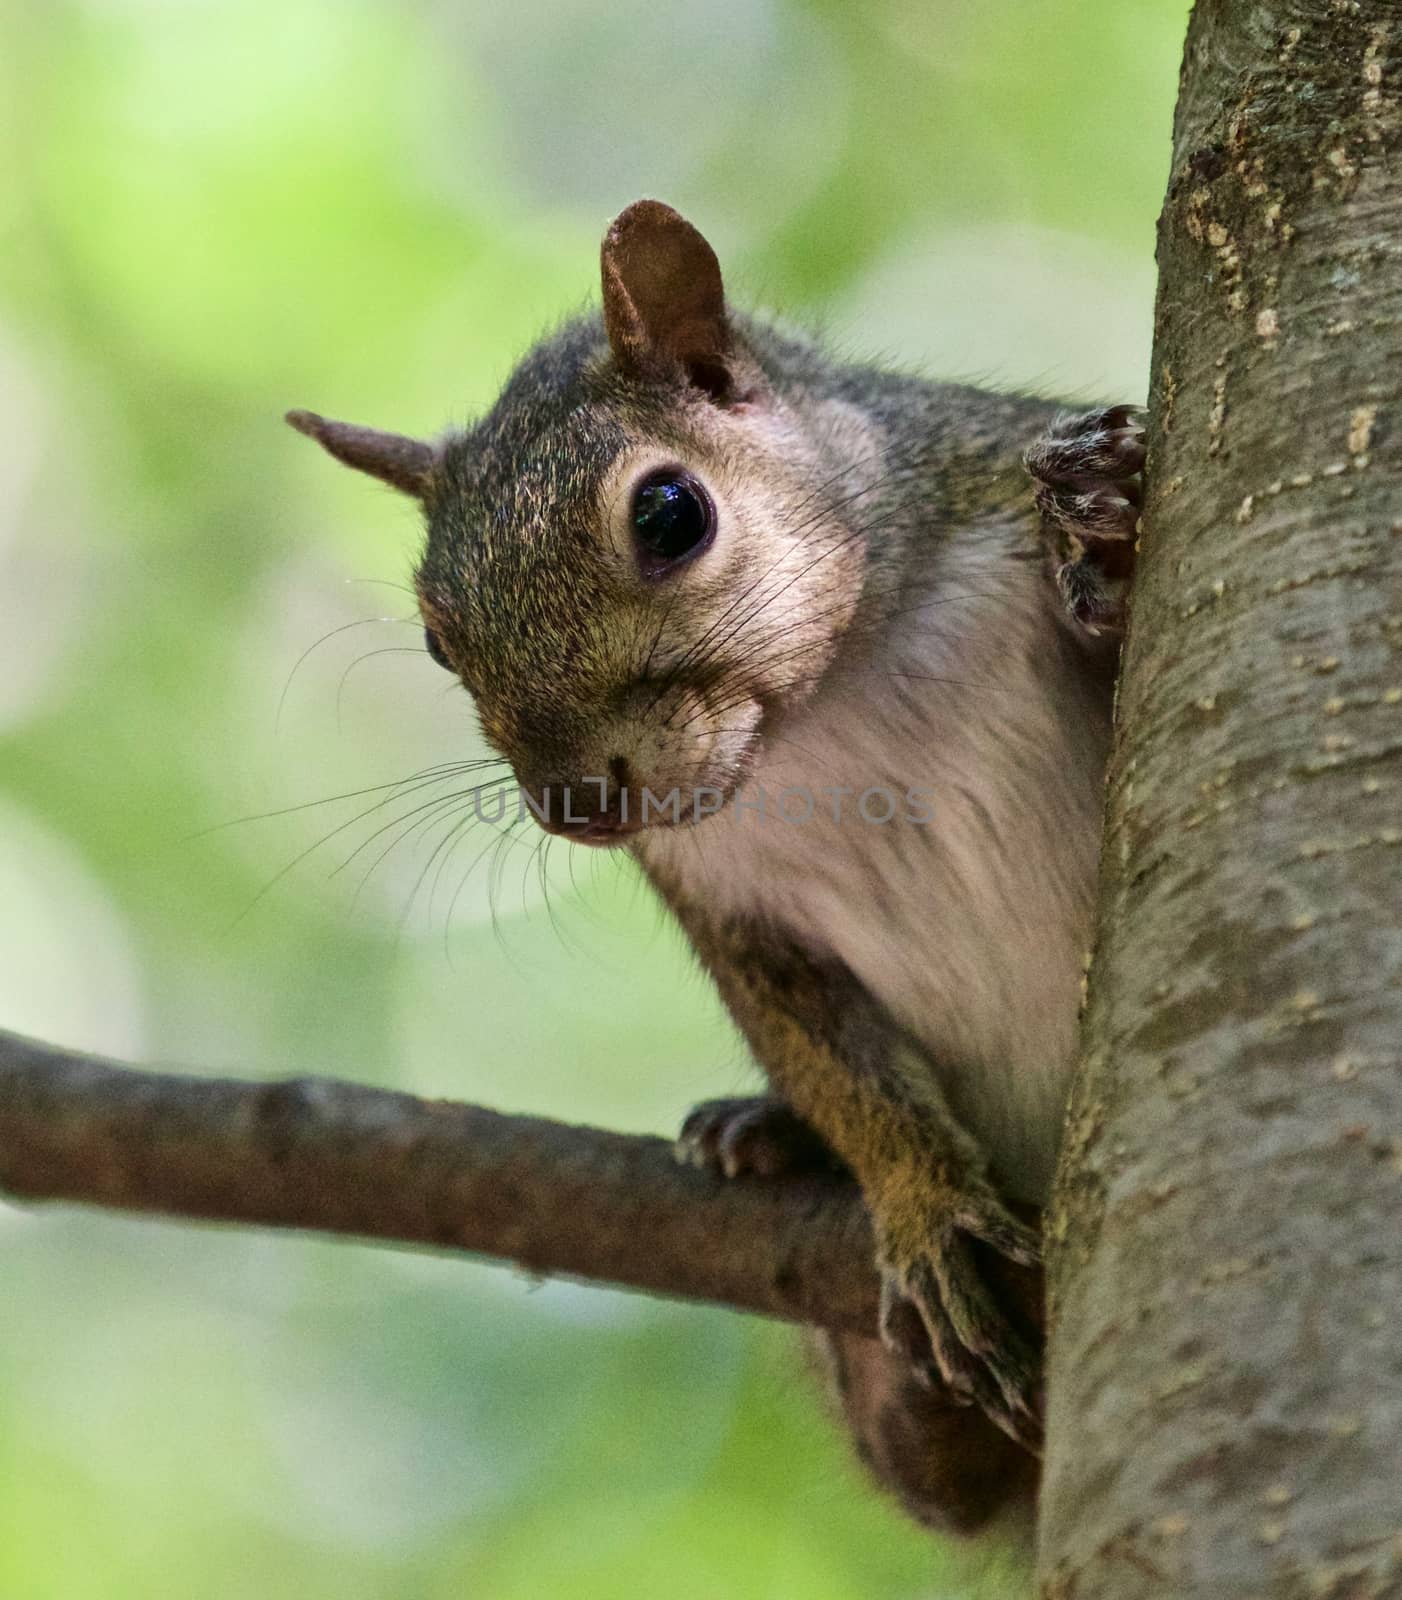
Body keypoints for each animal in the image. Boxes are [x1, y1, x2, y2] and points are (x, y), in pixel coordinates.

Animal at [284, 203, 1139, 1536]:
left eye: (670, 513)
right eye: (434, 634)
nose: (576, 804)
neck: (828, 712)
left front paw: (1103, 540)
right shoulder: (730, 908)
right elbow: (827, 1058)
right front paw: (922, 1203)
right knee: (938, 1486)